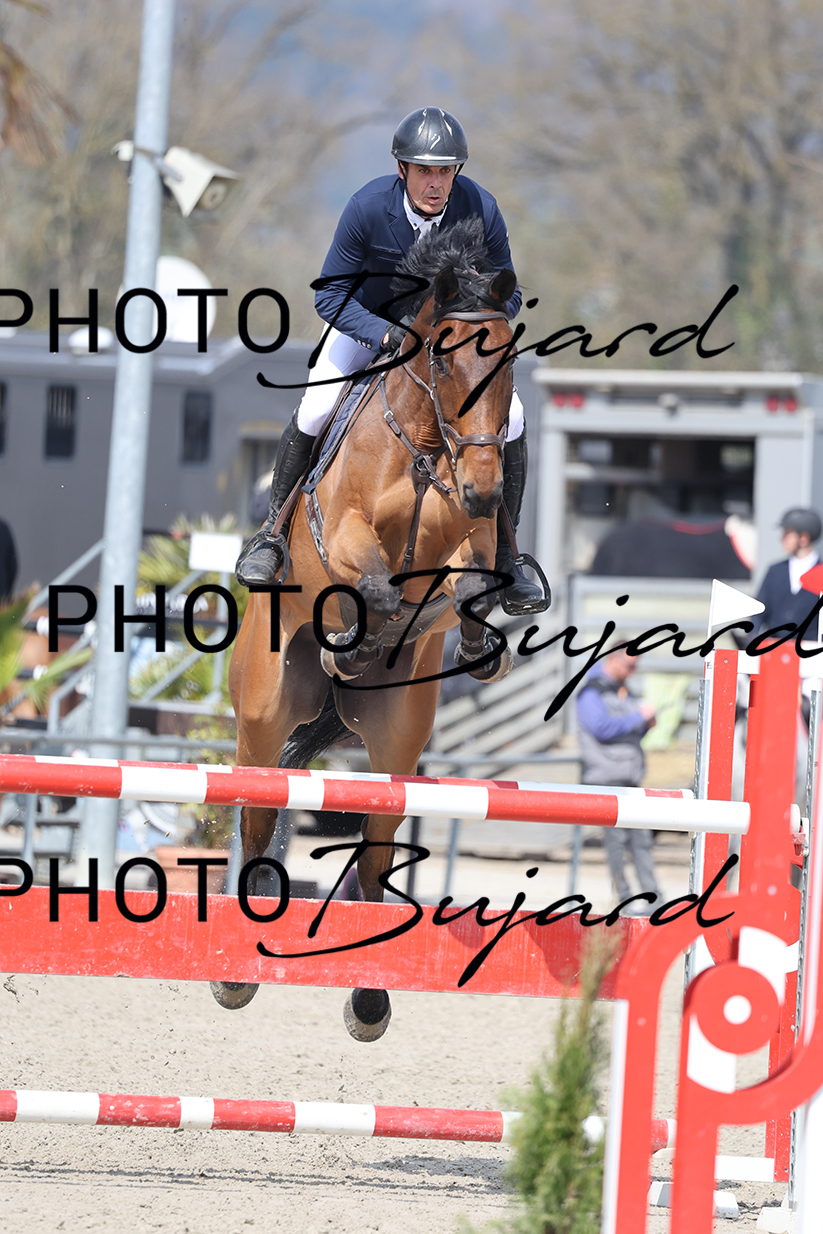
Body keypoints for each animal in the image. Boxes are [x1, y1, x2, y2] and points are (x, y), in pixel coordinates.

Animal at [213, 217, 521, 1040]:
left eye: (507, 363)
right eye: (444, 357)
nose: (483, 490)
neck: (423, 450)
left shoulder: (471, 542)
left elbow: (470, 581)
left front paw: (474, 642)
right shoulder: (342, 537)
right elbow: (373, 582)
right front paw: (363, 631)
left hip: (397, 739)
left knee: (378, 853)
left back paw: (369, 996)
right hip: (262, 714)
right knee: (259, 811)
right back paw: (236, 971)